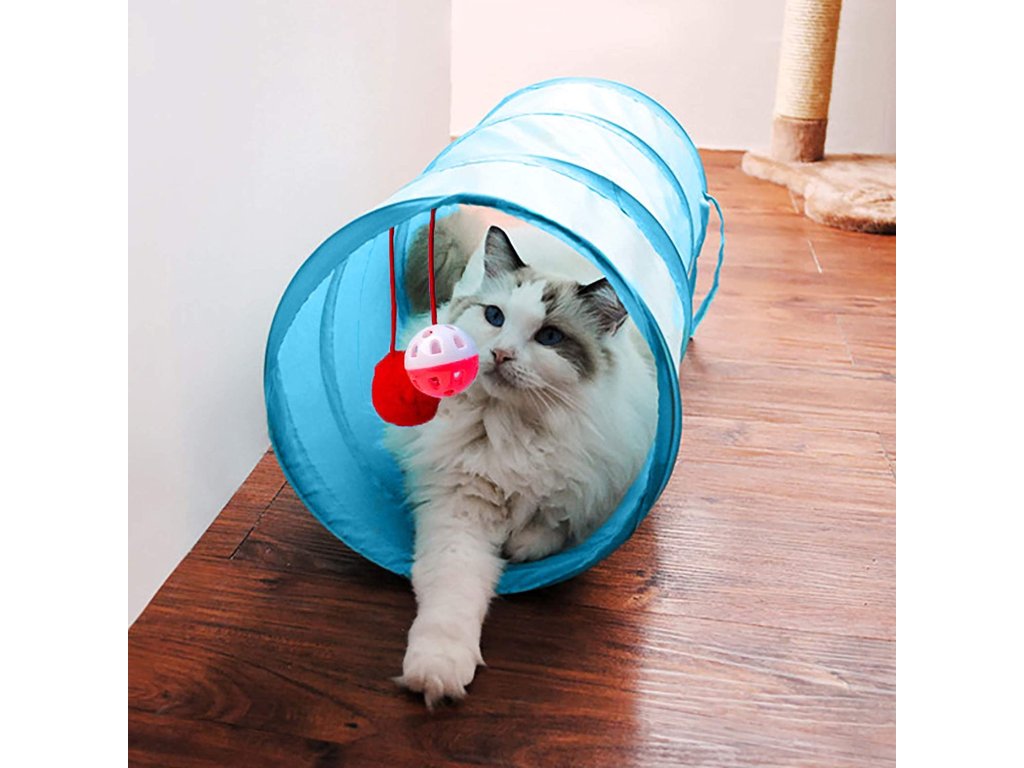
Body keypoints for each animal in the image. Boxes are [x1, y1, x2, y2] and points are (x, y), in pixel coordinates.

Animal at [387, 207, 657, 707]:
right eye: (494, 317)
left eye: (549, 336)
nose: (500, 353)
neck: (511, 427)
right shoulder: (460, 510)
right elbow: (451, 593)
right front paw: (436, 676)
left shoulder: (608, 483)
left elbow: (557, 523)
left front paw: (519, 545)